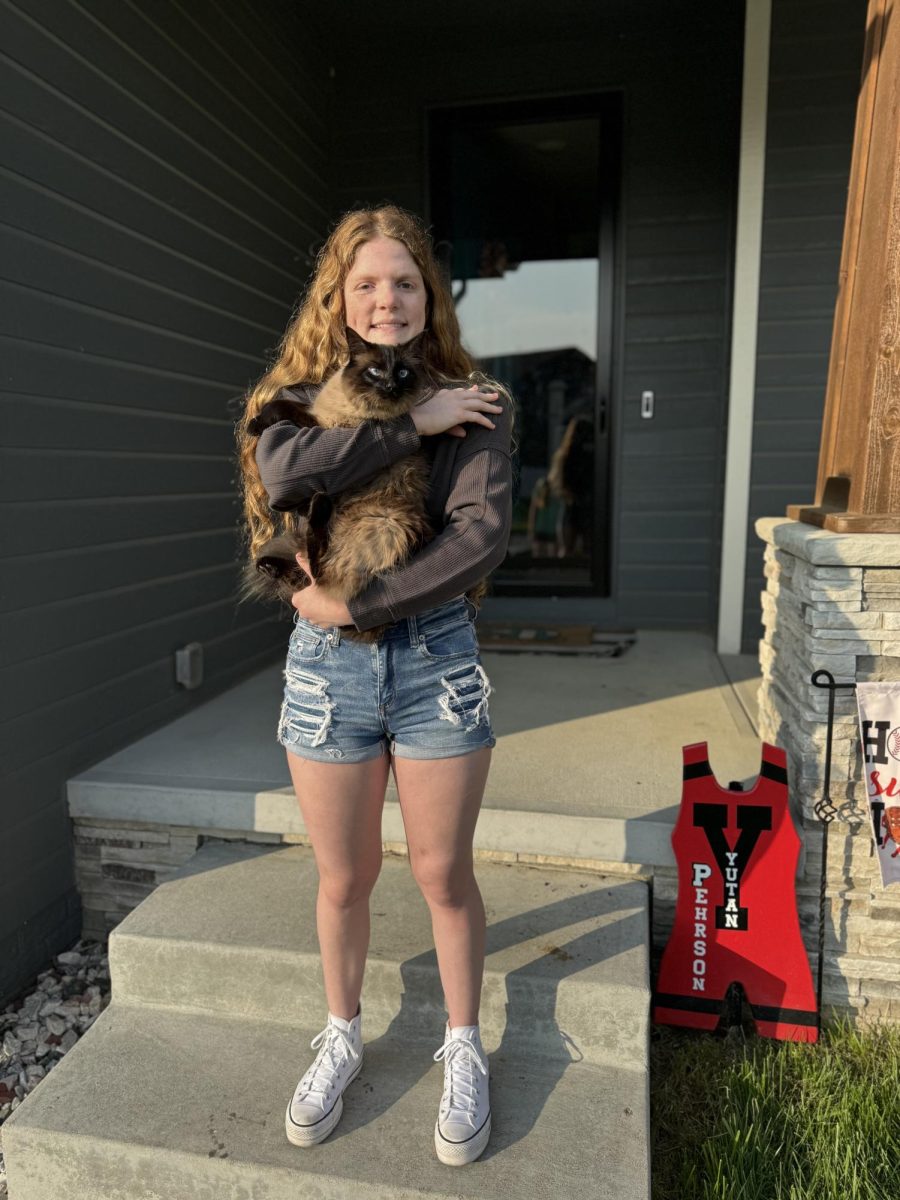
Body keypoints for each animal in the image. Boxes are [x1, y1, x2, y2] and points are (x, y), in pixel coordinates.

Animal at [244, 328, 434, 643]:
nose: (391, 385)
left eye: (403, 372)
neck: (349, 408)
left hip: (384, 524)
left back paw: (318, 508)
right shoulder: (315, 419)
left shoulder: (330, 433)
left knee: (322, 574)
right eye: (374, 371)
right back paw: (269, 564)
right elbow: (282, 405)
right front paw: (255, 425)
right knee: (307, 572)